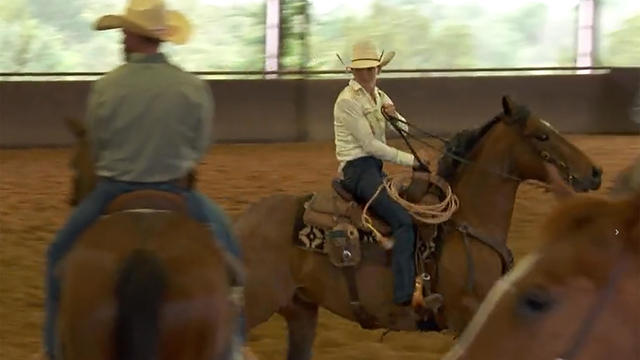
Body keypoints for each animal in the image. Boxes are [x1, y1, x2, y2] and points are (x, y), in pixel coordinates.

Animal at [235, 96, 600, 360]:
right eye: (542, 135)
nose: (594, 172)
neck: (467, 222)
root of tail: (243, 222)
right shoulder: (469, 316)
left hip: (300, 310)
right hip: (254, 304)